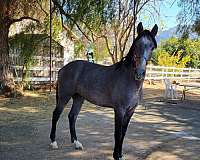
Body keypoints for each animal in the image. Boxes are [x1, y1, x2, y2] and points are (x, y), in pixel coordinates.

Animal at [49, 22, 158, 160]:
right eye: (137, 44)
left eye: (152, 47)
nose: (139, 73)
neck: (129, 79)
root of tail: (63, 68)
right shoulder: (119, 110)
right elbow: (118, 133)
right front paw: (116, 155)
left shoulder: (130, 111)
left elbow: (123, 133)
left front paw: (120, 154)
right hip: (64, 97)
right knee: (56, 115)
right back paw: (53, 142)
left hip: (79, 98)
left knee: (72, 116)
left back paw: (77, 143)